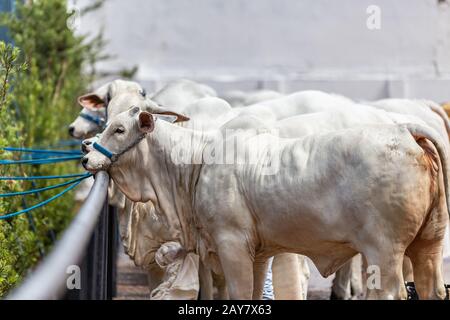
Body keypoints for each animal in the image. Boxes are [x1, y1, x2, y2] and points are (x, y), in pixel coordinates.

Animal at [81, 104, 450, 298]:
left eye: (118, 129)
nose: (86, 156)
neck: (195, 165)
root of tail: (406, 130)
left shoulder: (231, 245)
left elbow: (240, 294)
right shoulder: (258, 253)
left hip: (383, 252)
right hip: (428, 244)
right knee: (432, 288)